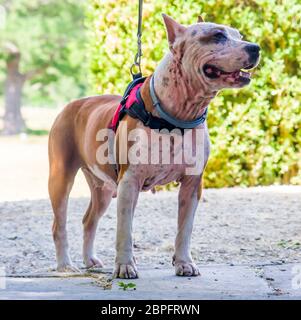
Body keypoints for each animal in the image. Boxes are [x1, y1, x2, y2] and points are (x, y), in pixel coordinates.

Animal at [48, 13, 258, 278]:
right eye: (217, 35)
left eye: (239, 35)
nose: (255, 47)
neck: (178, 116)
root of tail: (72, 104)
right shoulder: (129, 183)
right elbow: (124, 230)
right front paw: (125, 265)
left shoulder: (192, 185)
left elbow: (184, 229)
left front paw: (184, 262)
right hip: (60, 177)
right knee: (59, 224)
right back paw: (65, 265)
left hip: (102, 189)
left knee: (89, 220)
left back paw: (90, 260)